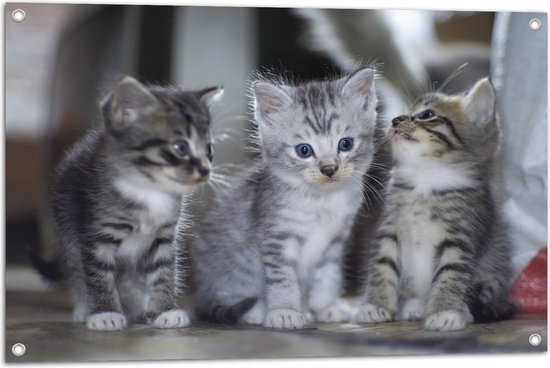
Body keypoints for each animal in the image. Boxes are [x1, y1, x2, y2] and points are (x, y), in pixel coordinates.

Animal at [29, 75, 222, 330]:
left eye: (209, 149)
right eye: (180, 147)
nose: (205, 170)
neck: (148, 190)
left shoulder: (164, 236)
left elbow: (164, 271)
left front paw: (165, 310)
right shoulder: (94, 235)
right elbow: (98, 275)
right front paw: (105, 313)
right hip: (67, 231)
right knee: (76, 270)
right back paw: (84, 307)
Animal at [193, 67, 380, 330]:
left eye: (346, 144)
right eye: (304, 150)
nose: (329, 169)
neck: (321, 200)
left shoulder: (335, 240)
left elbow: (327, 275)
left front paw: (325, 306)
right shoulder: (277, 237)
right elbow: (283, 279)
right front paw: (284, 311)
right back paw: (257, 311)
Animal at [358, 77, 516, 330]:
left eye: (427, 114)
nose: (394, 120)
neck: (425, 178)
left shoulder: (461, 237)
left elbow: (450, 274)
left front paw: (445, 311)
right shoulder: (389, 230)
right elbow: (382, 266)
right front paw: (376, 305)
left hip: (494, 266)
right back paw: (415, 305)